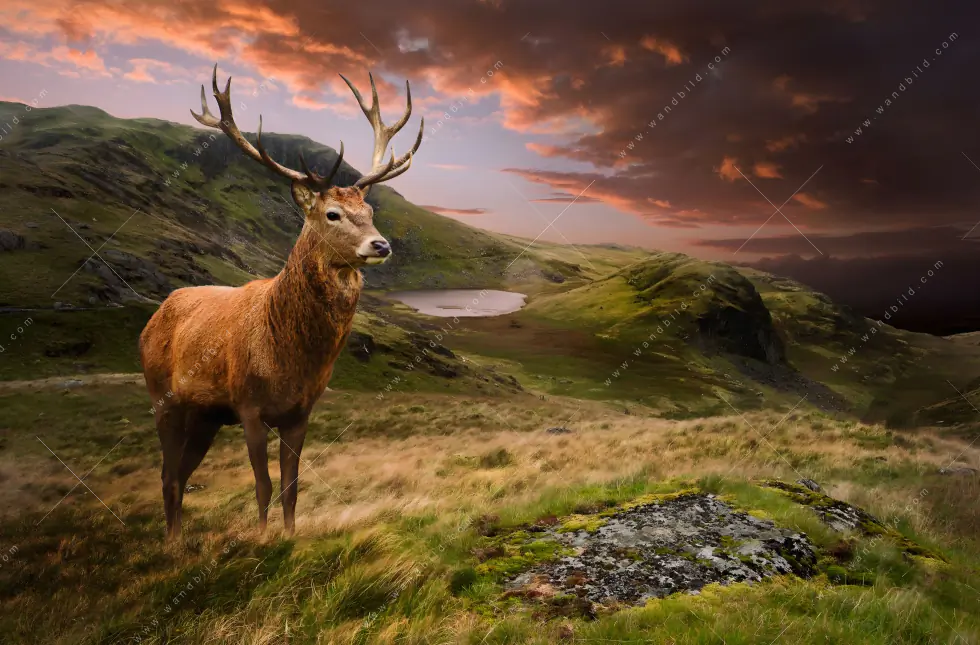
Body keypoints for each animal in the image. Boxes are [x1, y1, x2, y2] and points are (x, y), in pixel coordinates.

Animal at [139, 64, 422, 540]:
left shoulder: (300, 411)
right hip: (164, 396)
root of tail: (152, 319)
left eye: (369, 211)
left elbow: (292, 484)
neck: (287, 355)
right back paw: (171, 543)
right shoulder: (248, 404)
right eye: (332, 214)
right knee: (167, 474)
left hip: (205, 415)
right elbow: (263, 485)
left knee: (179, 472)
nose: (381, 245)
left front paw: (289, 537)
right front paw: (262, 538)